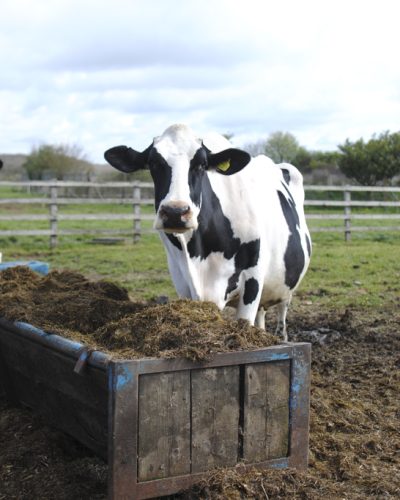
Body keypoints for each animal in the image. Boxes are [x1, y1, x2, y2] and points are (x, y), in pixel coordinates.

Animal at [104, 124, 310, 340]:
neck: (200, 252)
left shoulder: (253, 278)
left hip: (287, 283)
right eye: (153, 163)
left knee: (282, 311)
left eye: (201, 164)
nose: (175, 212)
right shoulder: (182, 281)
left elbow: (245, 322)